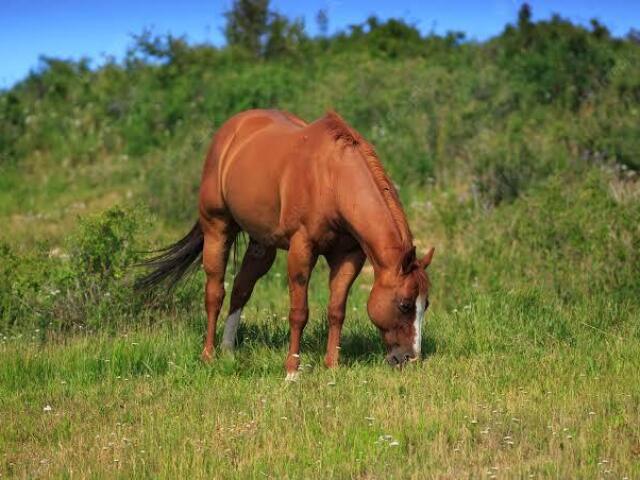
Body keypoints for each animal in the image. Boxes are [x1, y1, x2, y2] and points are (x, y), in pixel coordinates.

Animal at [136, 109, 436, 378]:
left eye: (426, 304)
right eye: (405, 304)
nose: (411, 359)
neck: (331, 179)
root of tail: (232, 129)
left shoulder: (348, 255)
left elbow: (336, 310)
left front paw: (332, 366)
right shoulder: (301, 249)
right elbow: (299, 312)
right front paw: (292, 371)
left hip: (262, 244)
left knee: (241, 289)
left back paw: (229, 350)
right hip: (217, 228)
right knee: (215, 292)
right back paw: (209, 355)